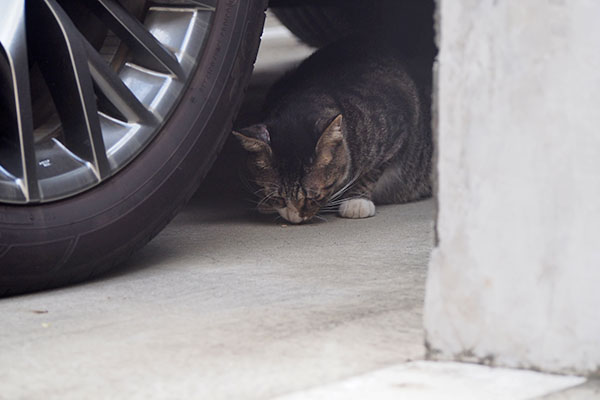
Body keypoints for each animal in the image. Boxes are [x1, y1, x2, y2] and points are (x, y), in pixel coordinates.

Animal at [233, 36, 432, 223]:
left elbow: (371, 172)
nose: (295, 219)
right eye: (278, 198)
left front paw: (356, 201)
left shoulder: (397, 133)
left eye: (313, 197)